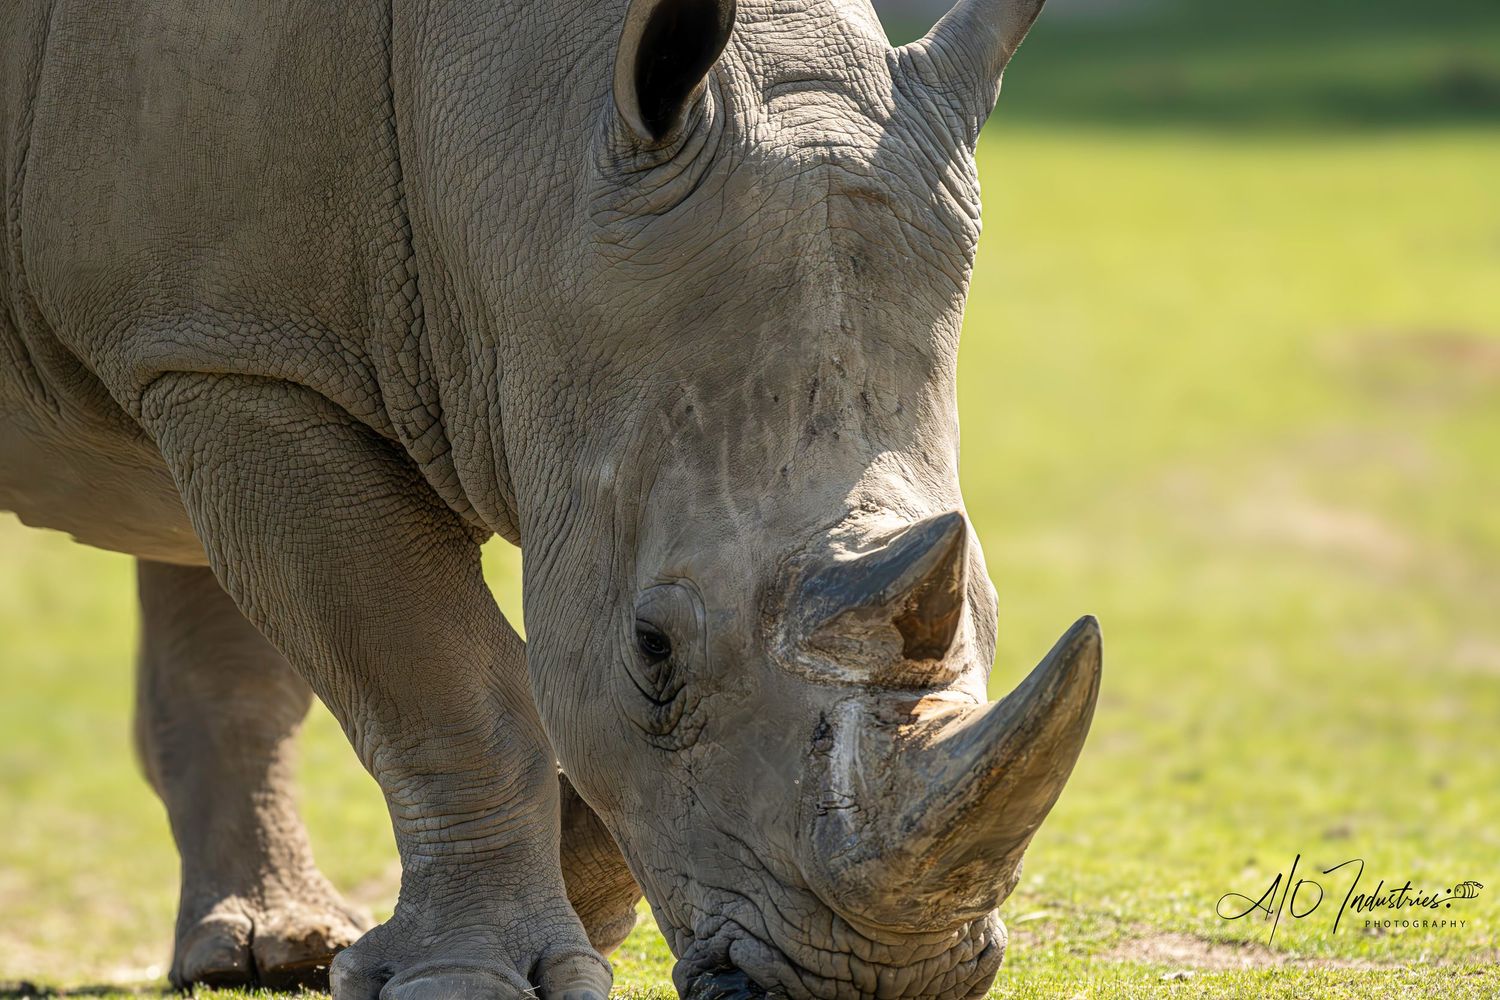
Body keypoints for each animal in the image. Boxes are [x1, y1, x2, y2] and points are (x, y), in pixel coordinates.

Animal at [0, 0, 1102, 996]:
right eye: (653, 651)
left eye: (992, 612)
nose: (884, 976)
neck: (529, 149)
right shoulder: (235, 354)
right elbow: (443, 680)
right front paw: (465, 977)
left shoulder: (211, 343)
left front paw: (551, 912)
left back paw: (273, 952)